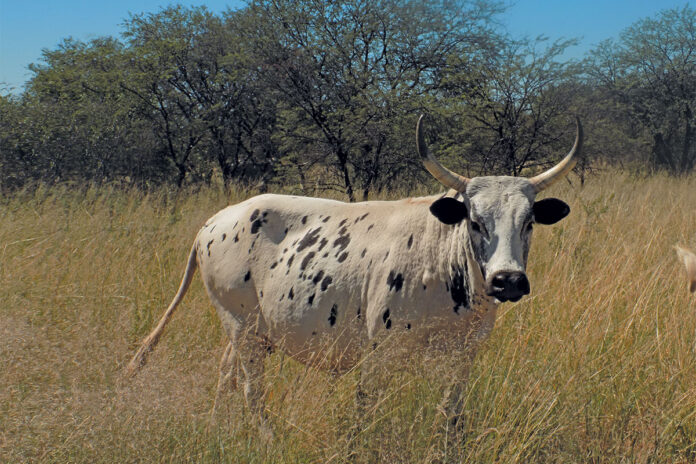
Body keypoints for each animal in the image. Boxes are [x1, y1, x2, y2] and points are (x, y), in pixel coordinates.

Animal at [126, 115, 582, 436]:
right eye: (474, 220)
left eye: (529, 222)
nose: (508, 281)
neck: (443, 265)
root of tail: (213, 221)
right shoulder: (379, 355)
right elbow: (366, 411)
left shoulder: (463, 357)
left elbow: (451, 417)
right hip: (242, 326)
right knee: (251, 390)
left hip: (250, 330)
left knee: (226, 375)